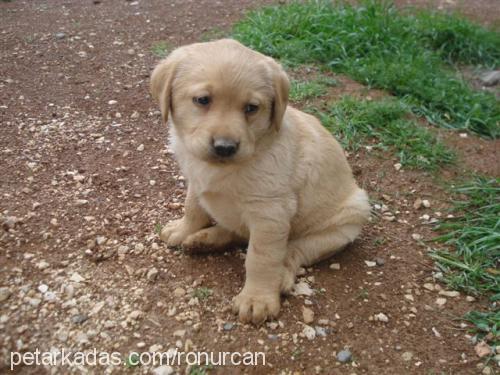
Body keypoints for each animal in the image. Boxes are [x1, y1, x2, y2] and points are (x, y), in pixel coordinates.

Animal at [150, 39, 370, 324]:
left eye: (251, 108)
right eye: (202, 100)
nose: (225, 147)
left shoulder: (270, 214)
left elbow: (260, 258)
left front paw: (257, 299)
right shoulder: (196, 182)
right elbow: (193, 208)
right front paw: (183, 229)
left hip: (345, 222)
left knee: (293, 252)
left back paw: (280, 277)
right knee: (238, 233)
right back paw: (204, 239)